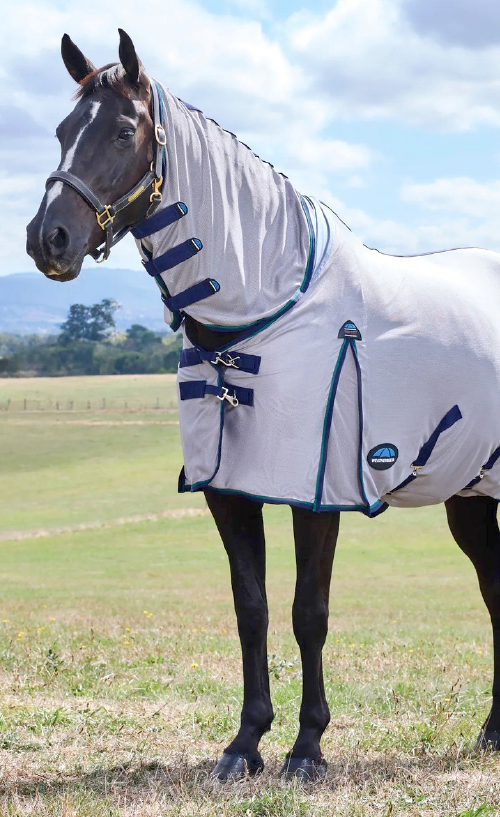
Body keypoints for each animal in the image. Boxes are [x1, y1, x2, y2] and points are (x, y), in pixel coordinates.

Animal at [26, 30, 500, 781]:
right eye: (62, 130)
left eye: (125, 131)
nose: (49, 240)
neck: (264, 310)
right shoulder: (229, 490)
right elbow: (251, 607)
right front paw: (245, 742)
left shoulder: (317, 491)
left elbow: (310, 612)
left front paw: (307, 748)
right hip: (470, 494)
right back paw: (493, 730)